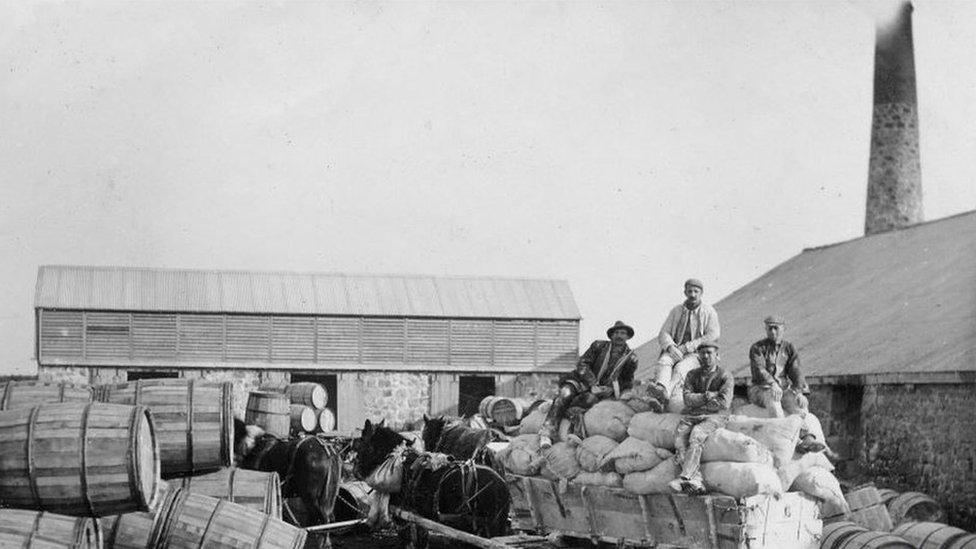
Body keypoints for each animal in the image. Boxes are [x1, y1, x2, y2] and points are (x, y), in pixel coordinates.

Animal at [356, 418, 516, 544]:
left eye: (362, 442)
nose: (356, 471)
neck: (400, 459)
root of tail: (502, 486)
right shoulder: (418, 517)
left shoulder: (403, 514)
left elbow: (409, 540)